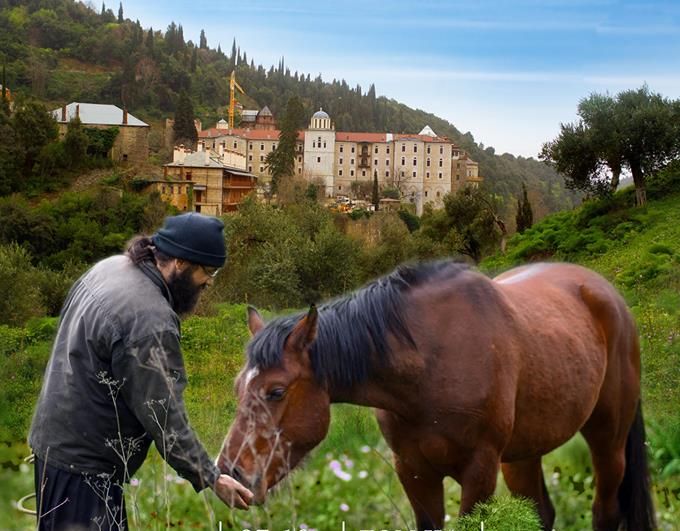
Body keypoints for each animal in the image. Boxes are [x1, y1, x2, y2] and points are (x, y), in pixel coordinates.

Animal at [216, 262, 652, 531]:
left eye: (276, 391)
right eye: (238, 387)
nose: (230, 475)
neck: (430, 361)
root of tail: (606, 293)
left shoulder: (479, 472)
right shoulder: (414, 471)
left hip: (608, 440)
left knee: (605, 511)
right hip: (522, 456)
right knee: (542, 512)